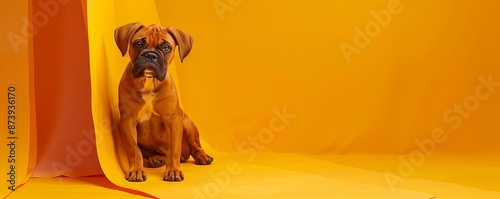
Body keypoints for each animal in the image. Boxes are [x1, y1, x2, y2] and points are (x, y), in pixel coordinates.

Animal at [114, 22, 212, 182]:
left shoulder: (173, 120)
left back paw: (202, 156)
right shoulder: (128, 121)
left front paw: (173, 171)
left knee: (195, 146)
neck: (148, 81)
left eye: (166, 47)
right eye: (139, 43)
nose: (151, 55)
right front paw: (136, 170)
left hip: (187, 123)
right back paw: (156, 159)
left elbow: (174, 149)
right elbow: (134, 149)